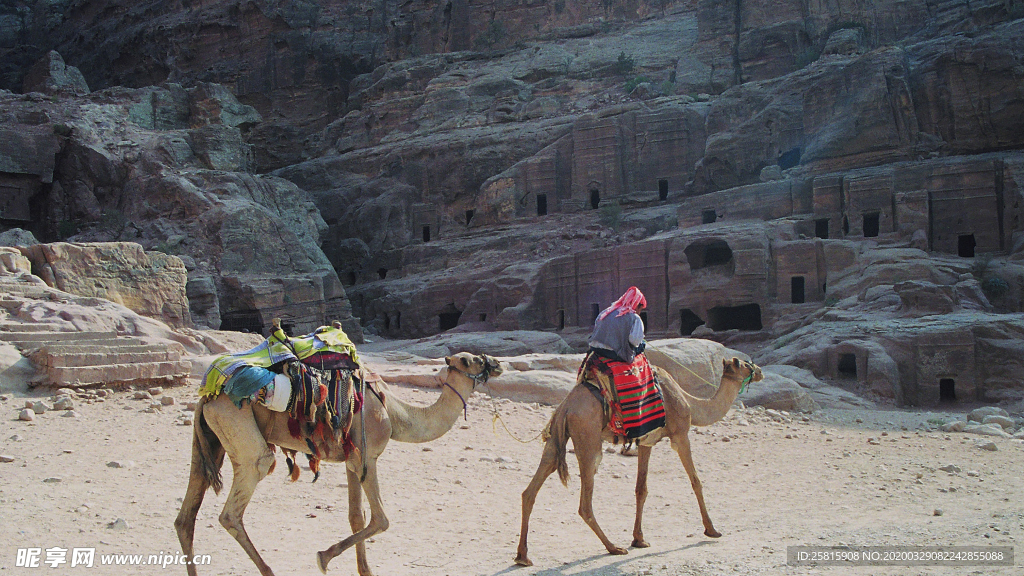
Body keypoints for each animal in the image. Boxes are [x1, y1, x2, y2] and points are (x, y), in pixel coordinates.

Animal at [175, 350, 503, 573]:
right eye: (473, 360)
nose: (497, 363)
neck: (395, 413)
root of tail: (207, 396)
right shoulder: (367, 456)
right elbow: (381, 519)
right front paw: (324, 557)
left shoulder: (351, 460)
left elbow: (356, 516)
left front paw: (364, 571)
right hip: (240, 430)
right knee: (236, 502)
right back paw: (268, 570)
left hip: (211, 439)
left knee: (187, 513)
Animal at [512, 352, 761, 561]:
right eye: (746, 364)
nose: (760, 371)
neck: (690, 403)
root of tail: (565, 406)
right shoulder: (680, 435)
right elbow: (696, 481)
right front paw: (712, 530)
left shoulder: (646, 441)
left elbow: (641, 489)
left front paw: (639, 539)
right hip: (588, 437)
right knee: (585, 503)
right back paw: (613, 547)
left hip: (555, 438)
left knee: (531, 488)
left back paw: (523, 556)